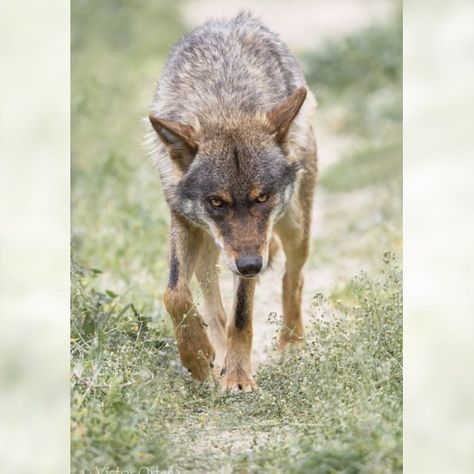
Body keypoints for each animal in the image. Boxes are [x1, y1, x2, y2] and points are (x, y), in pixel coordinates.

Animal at [148, 12, 318, 392]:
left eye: (262, 197)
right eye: (216, 202)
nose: (252, 265)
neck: (222, 105)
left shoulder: (253, 248)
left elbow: (242, 315)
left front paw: (238, 377)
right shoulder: (183, 219)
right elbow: (175, 294)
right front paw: (197, 357)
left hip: (294, 226)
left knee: (293, 277)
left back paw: (291, 343)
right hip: (209, 246)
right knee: (213, 303)